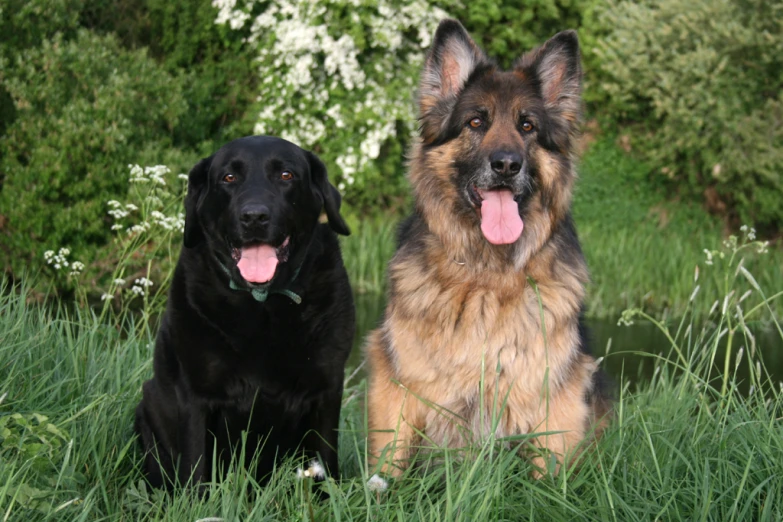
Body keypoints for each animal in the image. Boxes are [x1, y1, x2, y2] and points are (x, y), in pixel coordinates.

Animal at [135, 135, 356, 488]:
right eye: (229, 177)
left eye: (286, 175)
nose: (254, 216)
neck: (262, 302)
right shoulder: (194, 395)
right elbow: (196, 468)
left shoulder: (327, 390)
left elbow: (325, 463)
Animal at [368, 19, 612, 476]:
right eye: (476, 122)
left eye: (527, 126)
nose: (506, 165)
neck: (487, 273)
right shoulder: (397, 379)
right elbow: (388, 462)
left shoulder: (555, 390)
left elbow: (549, 470)